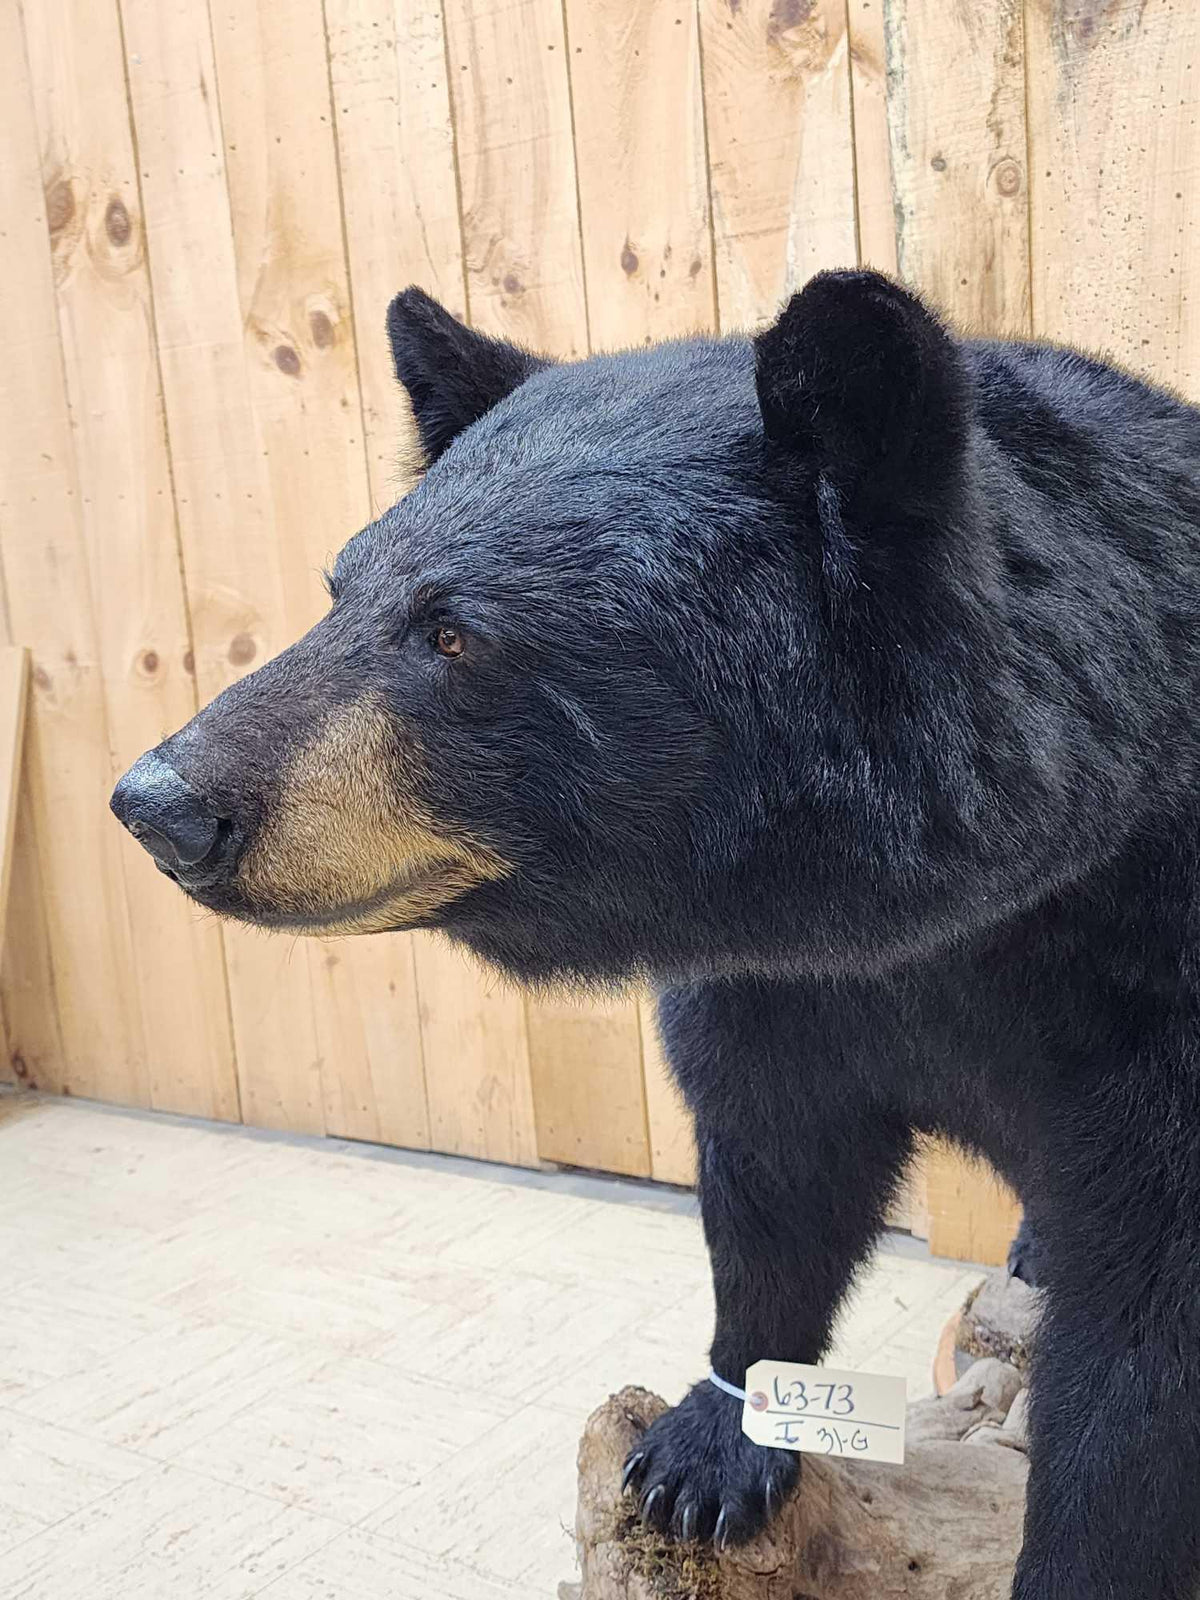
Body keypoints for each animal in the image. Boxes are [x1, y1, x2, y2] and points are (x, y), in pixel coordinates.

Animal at [111, 269, 1200, 1600]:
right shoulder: (776, 988)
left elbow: (1143, 1353)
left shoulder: (1154, 994)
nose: (163, 803)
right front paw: (712, 1440)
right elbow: (774, 1172)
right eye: (339, 588)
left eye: (454, 631)